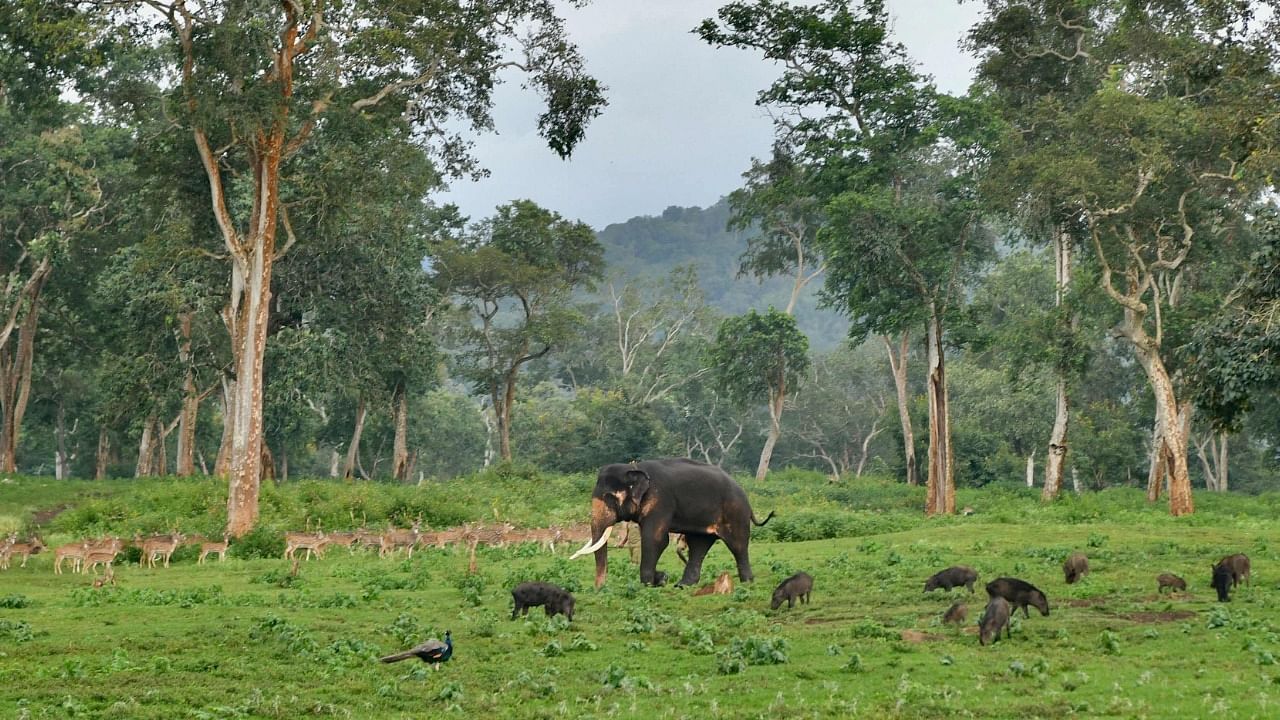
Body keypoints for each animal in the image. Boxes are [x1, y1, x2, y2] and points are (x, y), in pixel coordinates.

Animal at [576, 456, 773, 586]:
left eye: (609, 497)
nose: (600, 588)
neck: (634, 467)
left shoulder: (661, 500)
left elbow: (655, 539)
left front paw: (648, 583)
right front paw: (661, 578)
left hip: (735, 512)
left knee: (737, 545)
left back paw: (747, 582)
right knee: (698, 544)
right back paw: (683, 585)